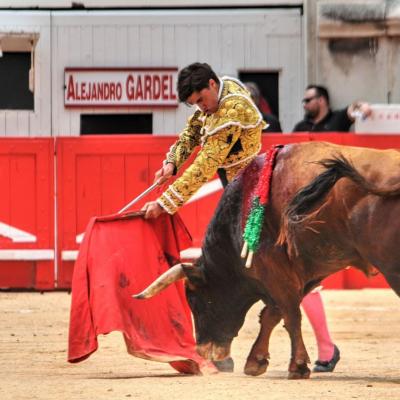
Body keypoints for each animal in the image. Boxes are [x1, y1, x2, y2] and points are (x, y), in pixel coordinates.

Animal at [132, 142, 400, 380]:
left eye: (196, 301)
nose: (205, 352)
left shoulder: (275, 272)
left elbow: (289, 315)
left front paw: (297, 367)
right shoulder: (298, 273)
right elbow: (272, 315)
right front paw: (256, 362)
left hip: (392, 268)